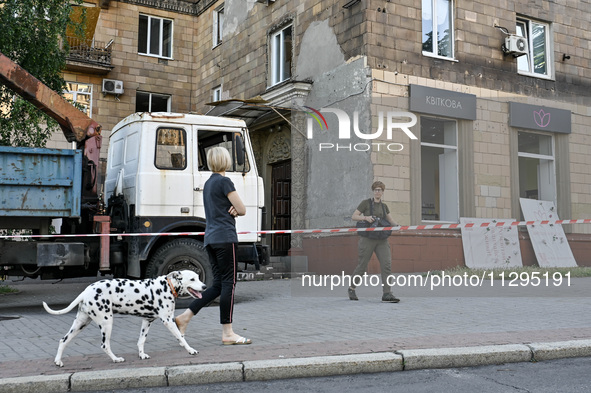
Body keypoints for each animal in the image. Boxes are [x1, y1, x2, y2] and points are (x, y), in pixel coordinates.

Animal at [42, 268, 207, 366]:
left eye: (198, 277)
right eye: (192, 279)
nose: (205, 286)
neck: (167, 286)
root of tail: (86, 291)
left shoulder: (147, 321)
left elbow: (141, 341)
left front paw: (141, 355)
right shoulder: (168, 321)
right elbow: (181, 337)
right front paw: (190, 350)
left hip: (80, 324)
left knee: (63, 340)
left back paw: (58, 361)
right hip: (106, 322)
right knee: (104, 345)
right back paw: (116, 359)